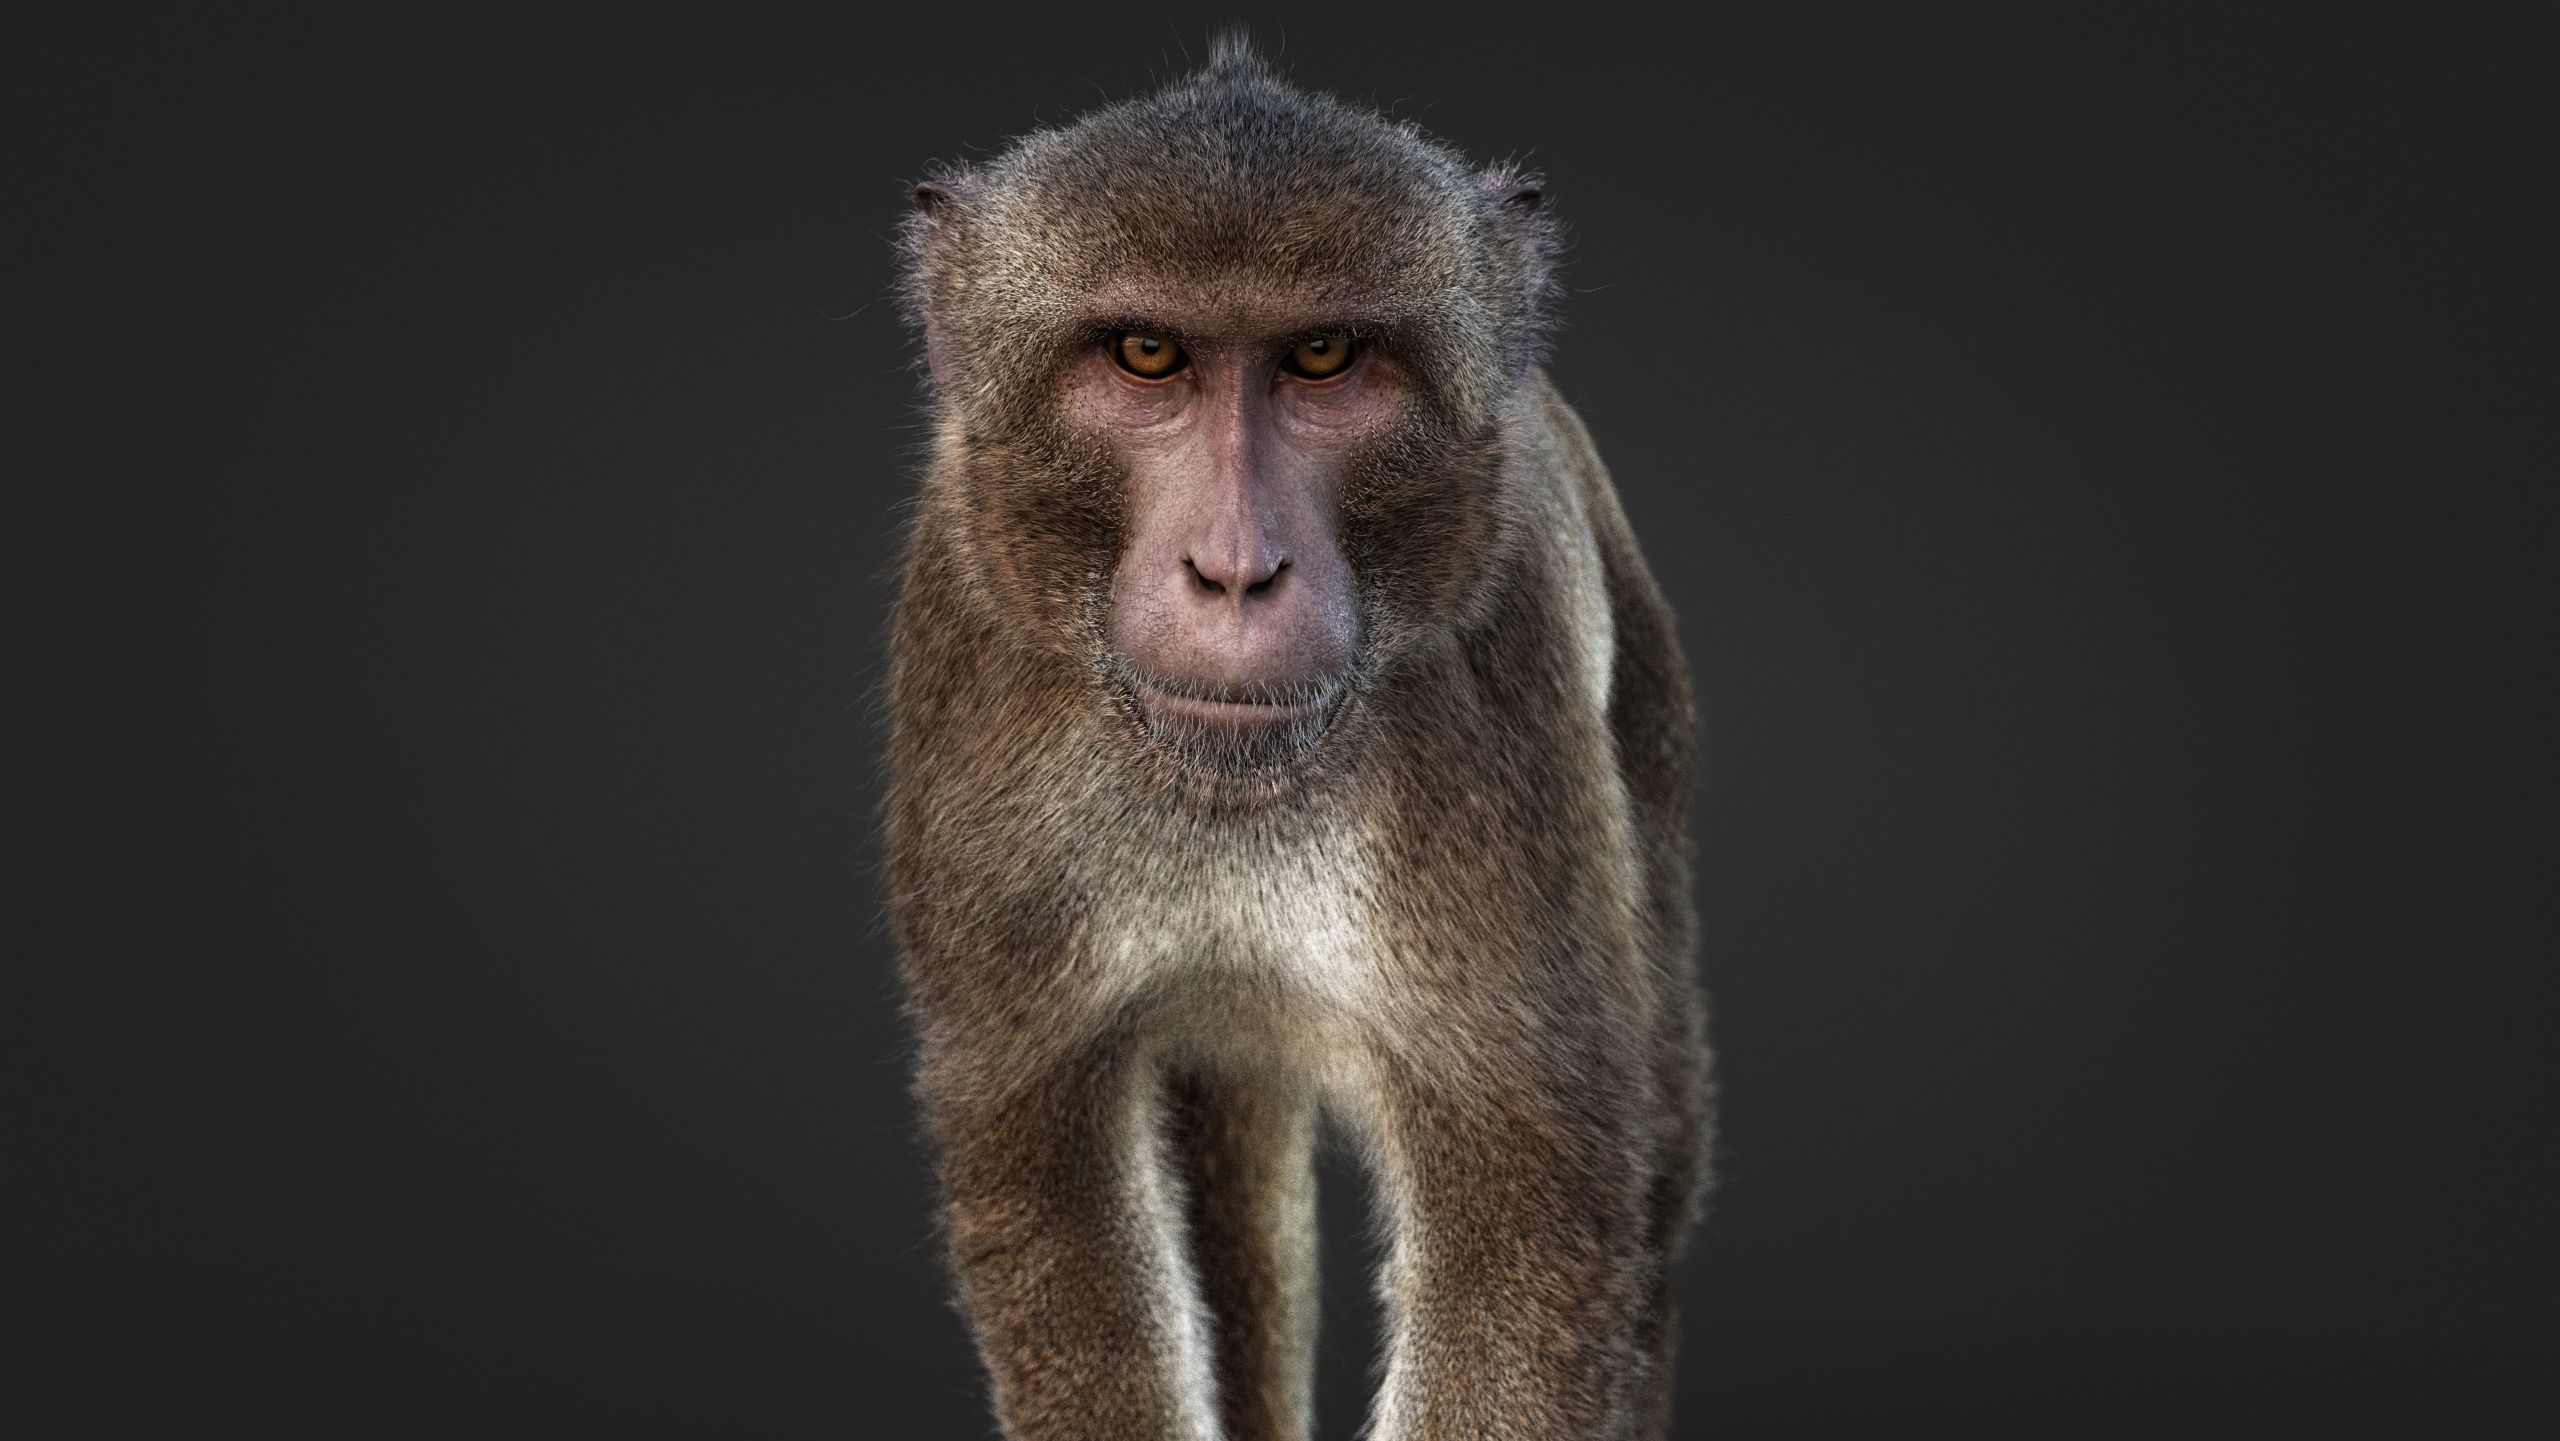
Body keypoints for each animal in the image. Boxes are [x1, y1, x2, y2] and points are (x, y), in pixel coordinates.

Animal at [885, 37, 1712, 1441]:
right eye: (1146, 353)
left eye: (1323, 356)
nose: (1235, 570)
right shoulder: (965, 637)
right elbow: (1046, 1163)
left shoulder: (1493, 692)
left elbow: (1532, 1212)